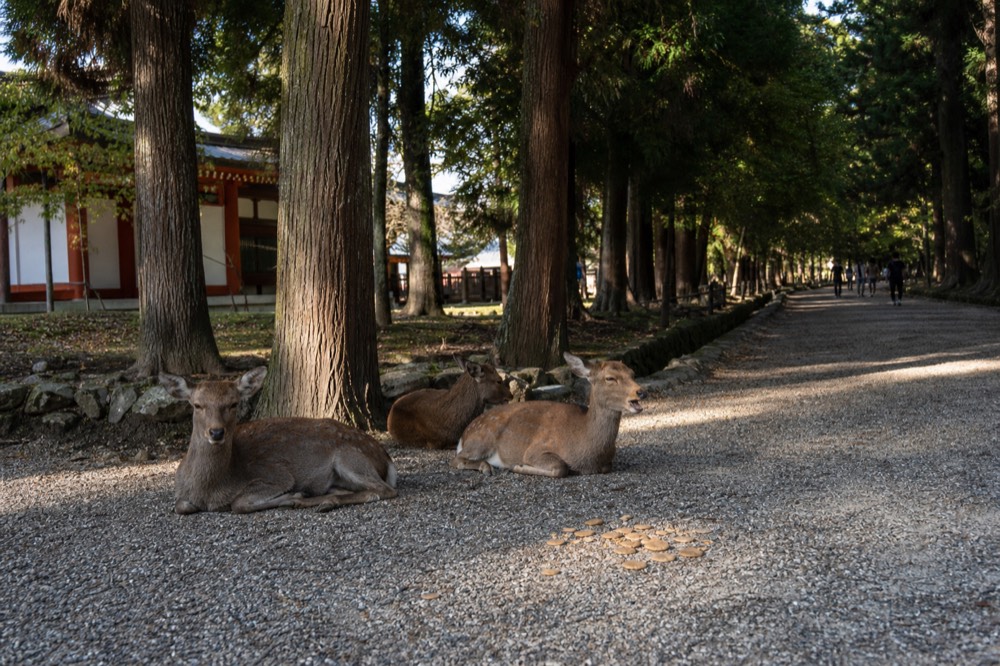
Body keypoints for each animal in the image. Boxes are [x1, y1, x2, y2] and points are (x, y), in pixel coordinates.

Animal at [161, 367, 397, 515]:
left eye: (234, 403)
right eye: (197, 405)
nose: (217, 432)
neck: (209, 491)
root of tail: (387, 459)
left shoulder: (276, 475)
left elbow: (239, 503)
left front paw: (293, 496)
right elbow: (180, 507)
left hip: (349, 457)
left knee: (383, 489)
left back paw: (316, 501)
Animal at [450, 352, 647, 478]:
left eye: (632, 373)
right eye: (610, 378)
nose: (640, 392)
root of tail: (464, 435)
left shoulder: (607, 464)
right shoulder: (535, 450)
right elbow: (560, 467)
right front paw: (518, 466)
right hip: (482, 438)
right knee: (457, 459)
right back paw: (486, 467)